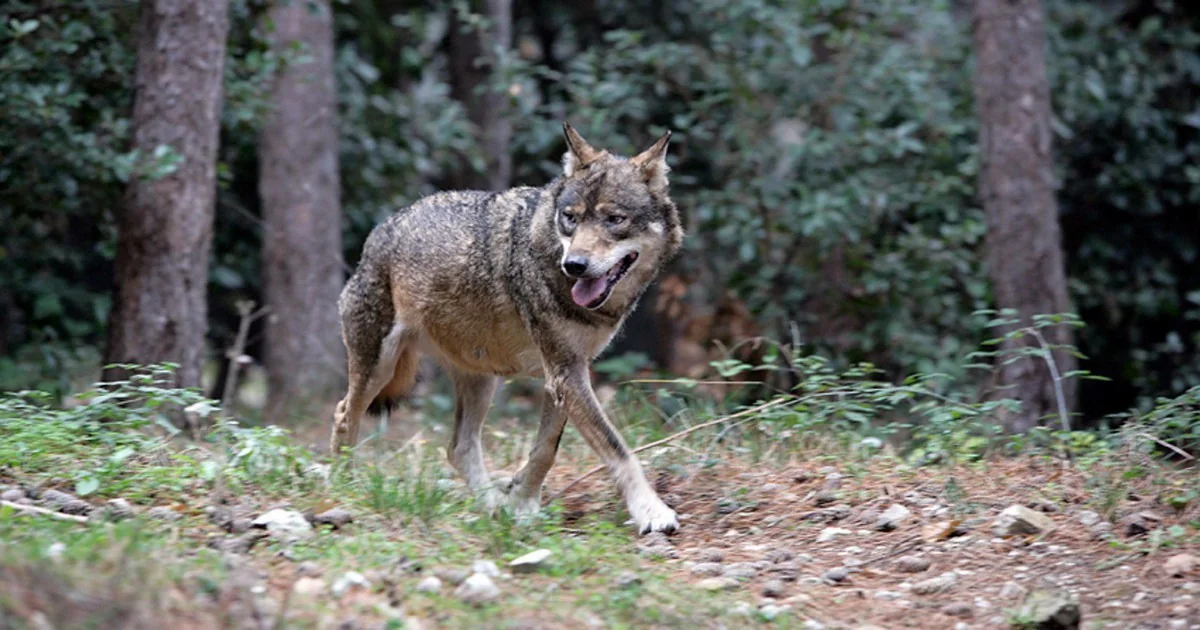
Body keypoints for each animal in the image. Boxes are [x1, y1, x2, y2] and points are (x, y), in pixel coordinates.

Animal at [330, 123, 684, 534]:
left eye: (614, 219)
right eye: (571, 218)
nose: (574, 265)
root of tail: (382, 229)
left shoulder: (564, 375)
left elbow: (545, 450)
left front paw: (521, 504)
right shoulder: (565, 374)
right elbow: (617, 448)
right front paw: (652, 511)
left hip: (481, 379)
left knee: (458, 447)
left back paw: (491, 507)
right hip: (380, 368)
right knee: (344, 414)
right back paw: (342, 485)